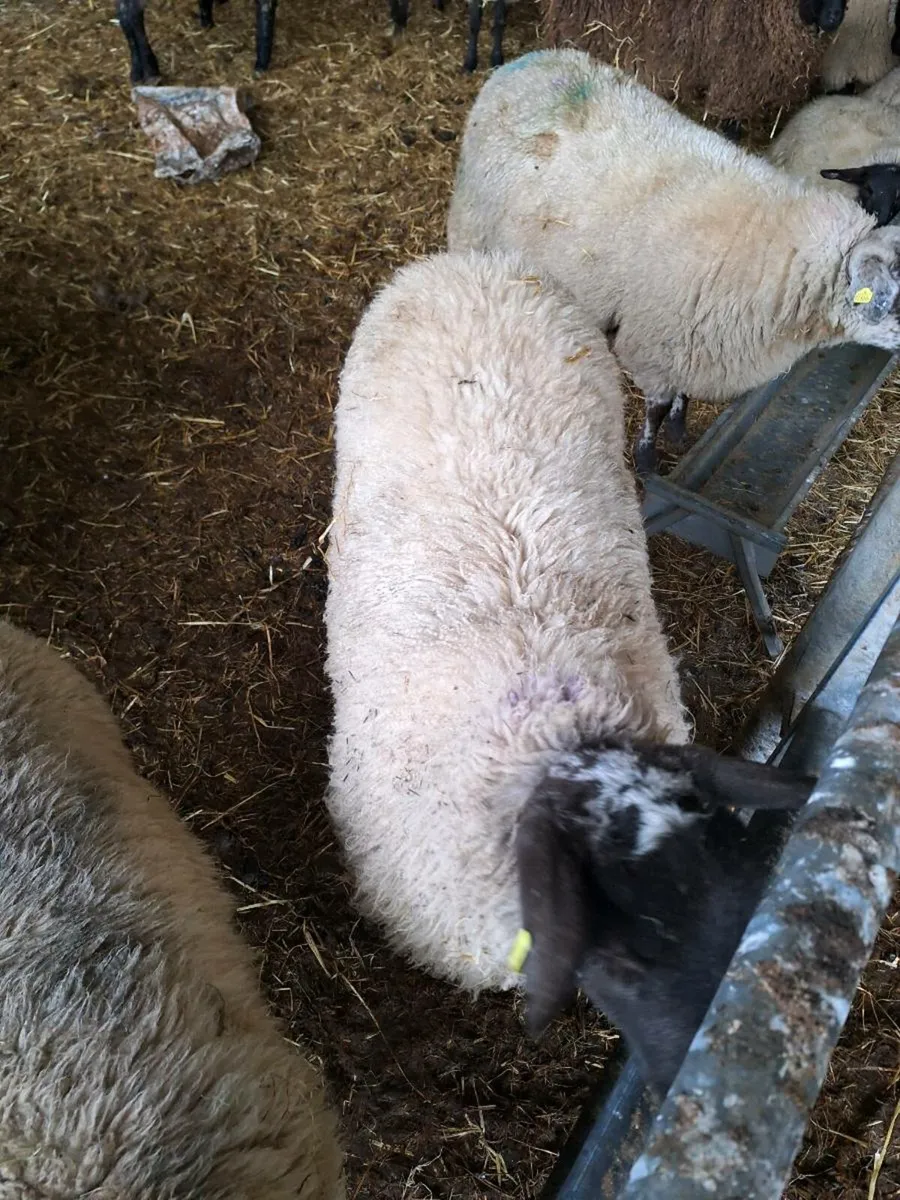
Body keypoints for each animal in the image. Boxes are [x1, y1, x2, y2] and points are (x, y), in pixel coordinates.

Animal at [117, 0, 276, 84]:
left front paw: (207, 22)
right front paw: (261, 65)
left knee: (124, 13)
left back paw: (137, 72)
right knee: (132, 12)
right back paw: (150, 72)